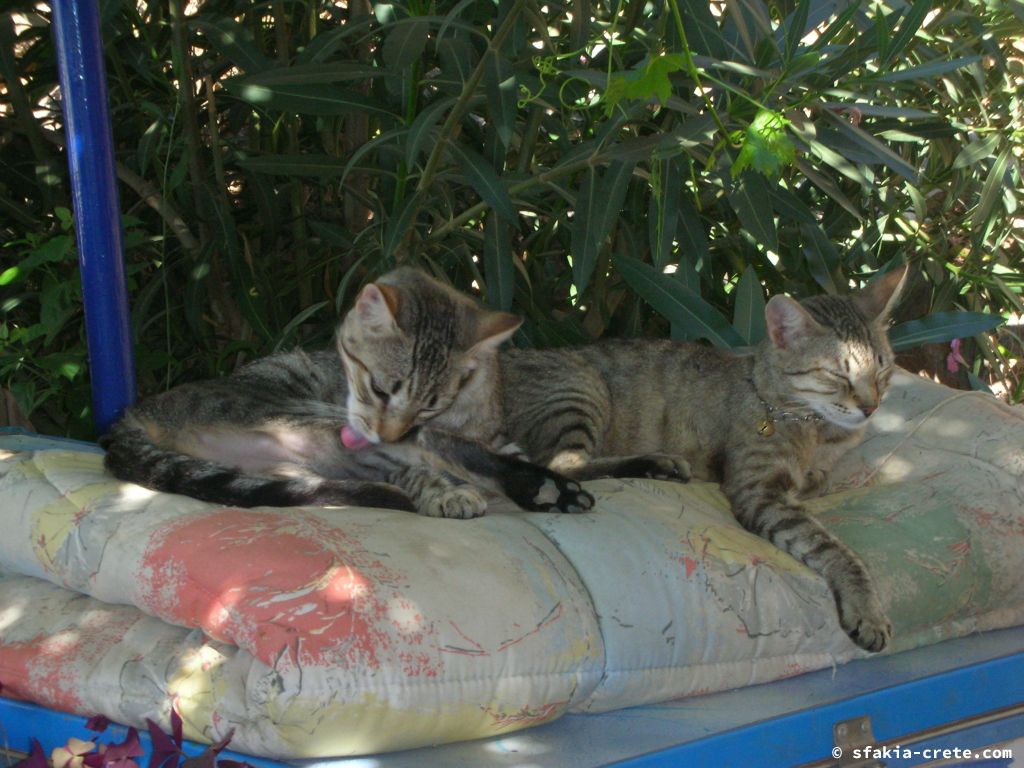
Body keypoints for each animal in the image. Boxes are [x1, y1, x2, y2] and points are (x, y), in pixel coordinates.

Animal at [99, 268, 598, 518]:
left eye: (431, 402)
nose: (391, 432)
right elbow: (438, 458)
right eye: (379, 388)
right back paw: (534, 489)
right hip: (304, 413)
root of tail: (132, 413)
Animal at [497, 268, 913, 651]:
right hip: (581, 389)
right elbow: (833, 549)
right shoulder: (759, 491)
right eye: (837, 376)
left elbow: (818, 479)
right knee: (561, 465)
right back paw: (657, 464)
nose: (871, 407)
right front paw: (868, 610)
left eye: (883, 369)